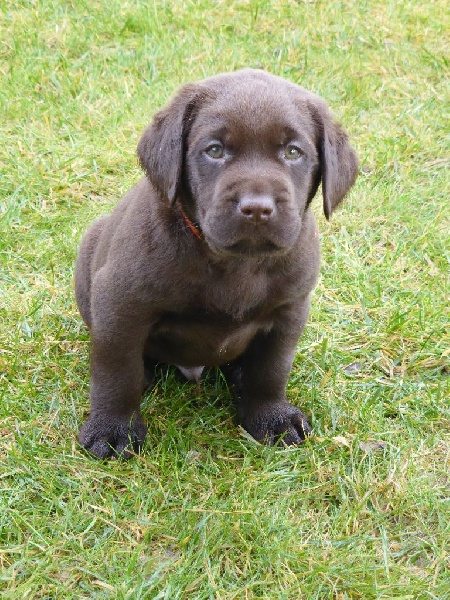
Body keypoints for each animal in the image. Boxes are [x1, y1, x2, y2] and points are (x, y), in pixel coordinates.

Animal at [75, 69, 358, 458]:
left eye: (293, 152)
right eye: (214, 150)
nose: (257, 208)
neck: (238, 263)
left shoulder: (290, 310)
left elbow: (271, 370)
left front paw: (270, 416)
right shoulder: (120, 304)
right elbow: (116, 373)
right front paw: (110, 429)